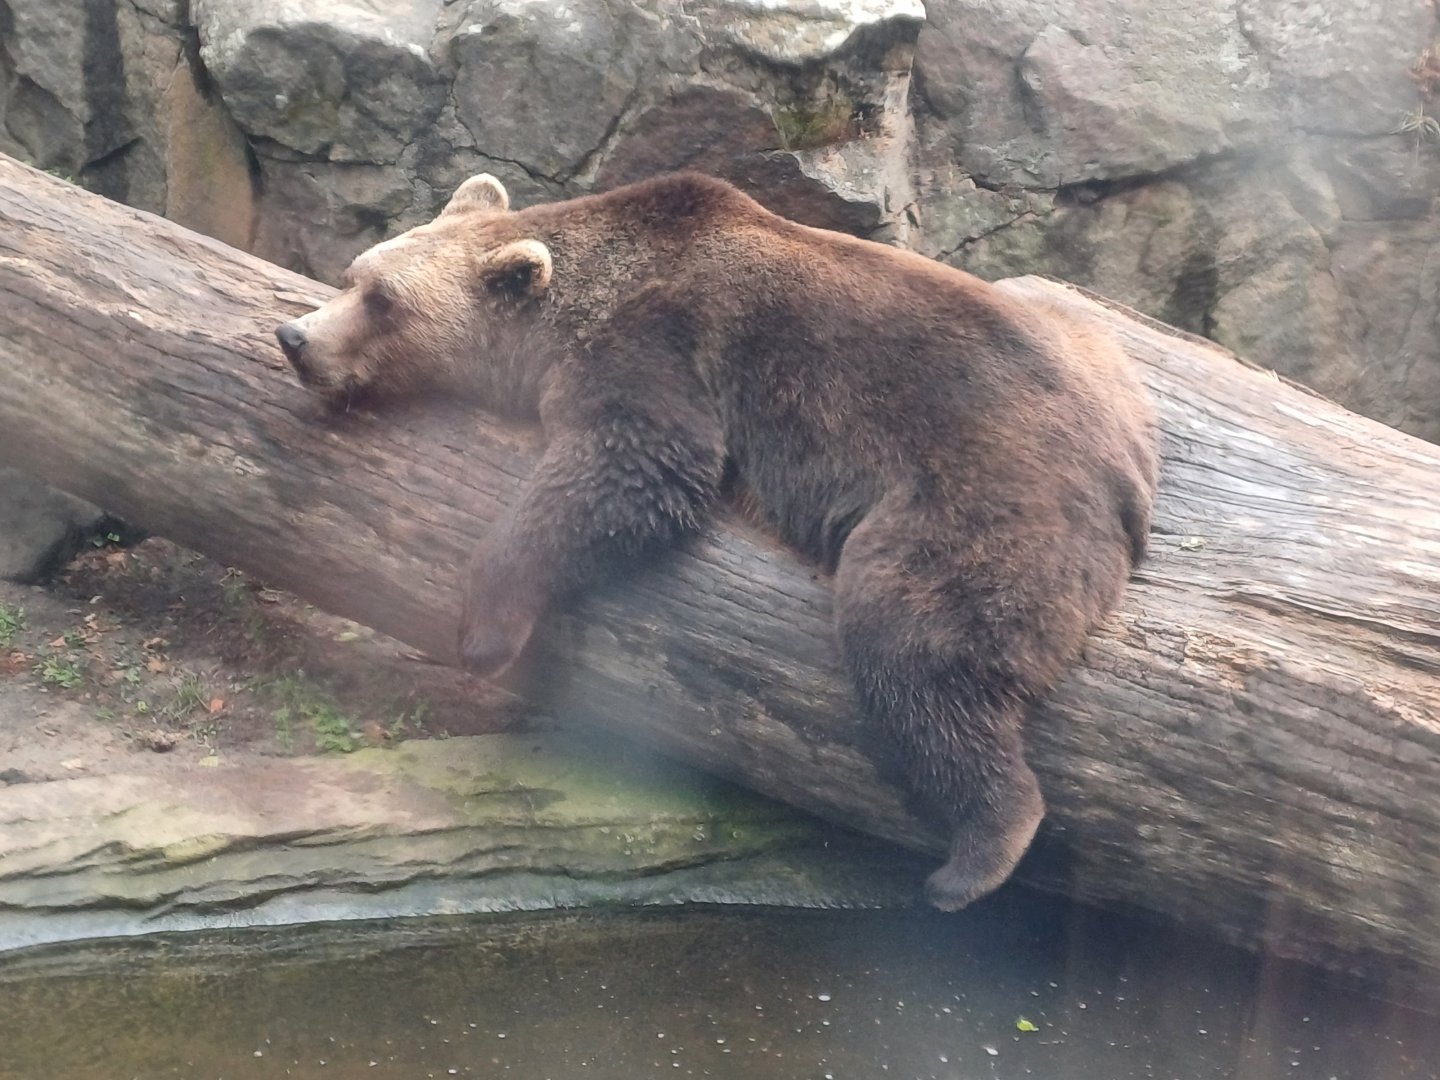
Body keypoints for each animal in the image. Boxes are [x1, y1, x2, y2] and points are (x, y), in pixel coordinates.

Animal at [274, 171, 1159, 911]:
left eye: (383, 300)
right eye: (355, 274)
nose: (296, 337)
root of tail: (1123, 474)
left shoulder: (657, 339)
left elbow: (640, 463)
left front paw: (485, 631)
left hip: (982, 503)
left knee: (917, 645)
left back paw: (973, 857)